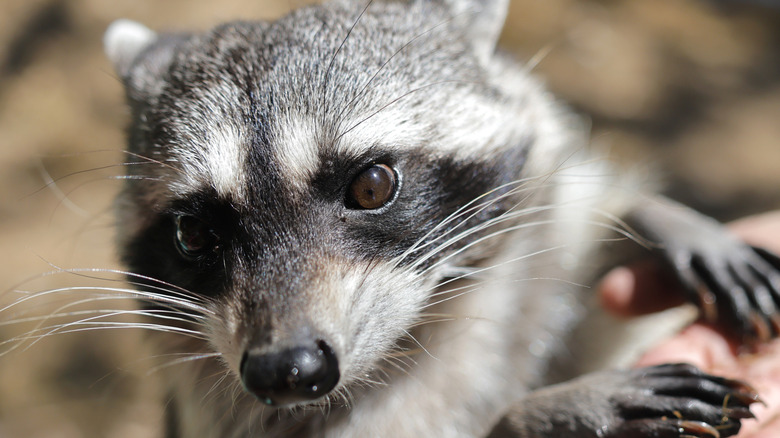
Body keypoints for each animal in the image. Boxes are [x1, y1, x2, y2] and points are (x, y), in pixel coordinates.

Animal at [102, 0, 778, 436]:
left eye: (372, 185)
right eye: (194, 234)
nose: (285, 370)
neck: (427, 321)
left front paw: (662, 219)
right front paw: (543, 413)